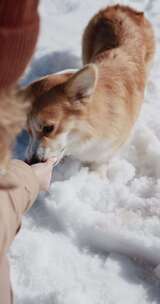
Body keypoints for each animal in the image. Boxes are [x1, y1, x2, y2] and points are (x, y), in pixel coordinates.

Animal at [25, 4, 155, 175]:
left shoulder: (107, 151)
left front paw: (95, 175)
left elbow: (99, 164)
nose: (32, 161)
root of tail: (121, 7)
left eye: (49, 128)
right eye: (28, 131)